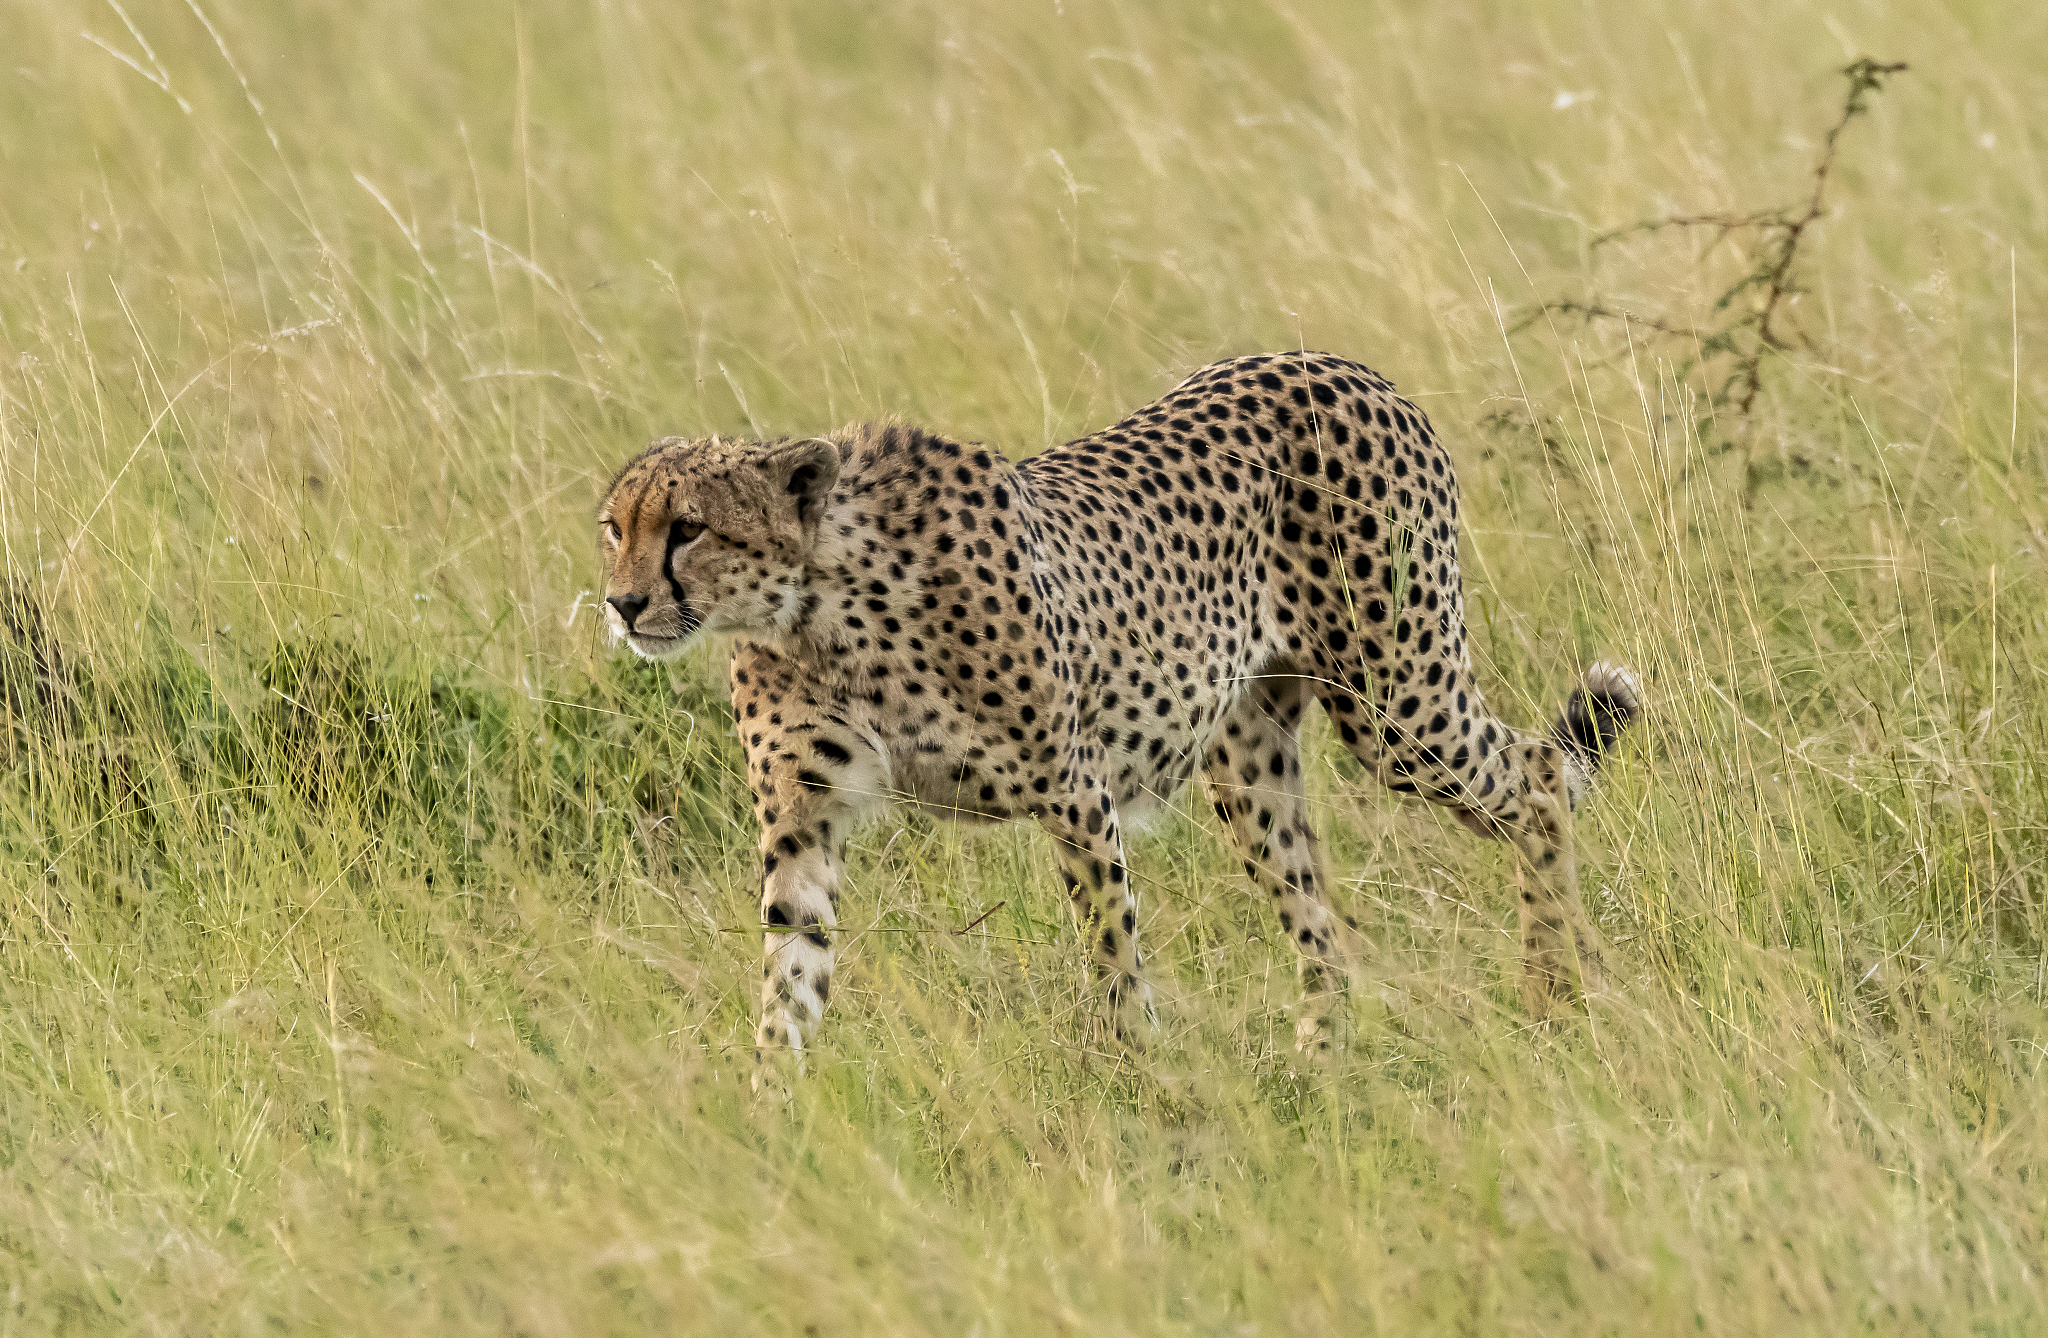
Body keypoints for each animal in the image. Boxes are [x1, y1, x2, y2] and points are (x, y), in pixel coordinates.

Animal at [597, 351, 1642, 1065]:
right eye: (614, 527)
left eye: (688, 529)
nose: (622, 604)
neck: (818, 606)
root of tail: (1344, 367)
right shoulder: (804, 820)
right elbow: (791, 968)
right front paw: (771, 1112)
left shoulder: (1074, 790)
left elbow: (1110, 953)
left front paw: (1138, 1075)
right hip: (1251, 764)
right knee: (1320, 921)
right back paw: (1320, 1059)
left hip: (1398, 702)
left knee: (1537, 775)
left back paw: (1552, 991)